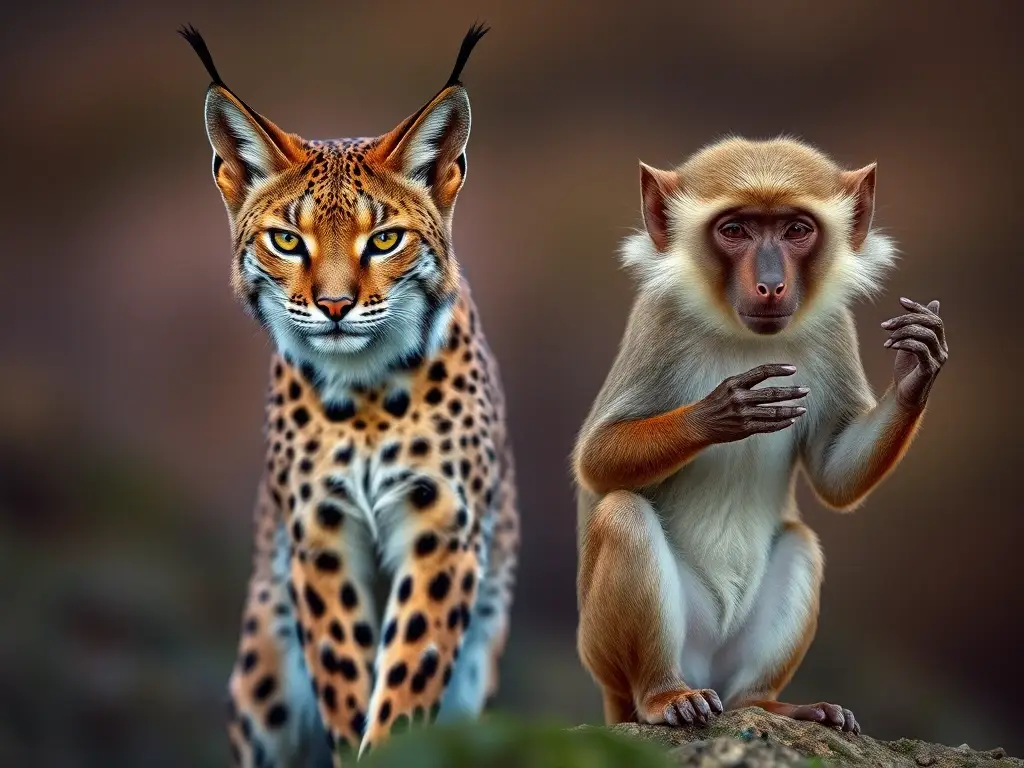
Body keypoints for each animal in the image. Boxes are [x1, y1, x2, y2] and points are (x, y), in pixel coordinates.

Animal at [572, 136, 948, 734]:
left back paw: (767, 704)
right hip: (605, 653)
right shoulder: (658, 322)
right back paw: (663, 693)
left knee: (800, 544)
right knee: (624, 515)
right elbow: (596, 459)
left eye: (795, 229)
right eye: (736, 230)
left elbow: (834, 475)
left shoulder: (832, 329)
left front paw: (917, 368)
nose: (771, 284)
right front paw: (721, 412)